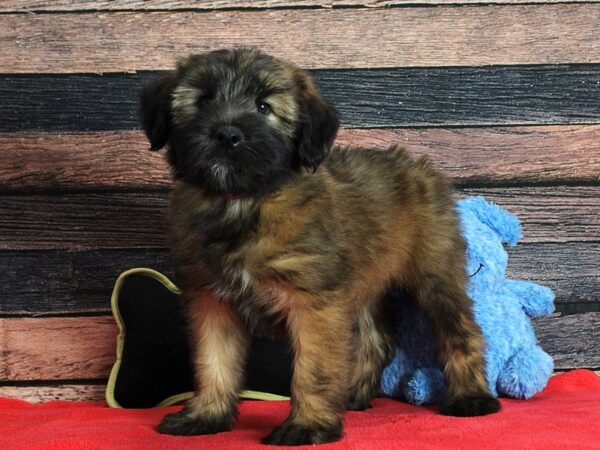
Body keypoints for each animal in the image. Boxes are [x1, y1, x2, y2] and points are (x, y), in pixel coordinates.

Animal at [141, 47, 502, 444]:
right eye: (203, 100)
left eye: (264, 107)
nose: (227, 134)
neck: (242, 203)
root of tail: (419, 167)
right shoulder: (211, 301)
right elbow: (213, 363)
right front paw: (206, 416)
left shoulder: (314, 302)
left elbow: (313, 368)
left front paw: (307, 425)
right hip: (364, 285)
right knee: (373, 341)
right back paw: (352, 396)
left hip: (435, 276)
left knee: (463, 333)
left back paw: (471, 397)